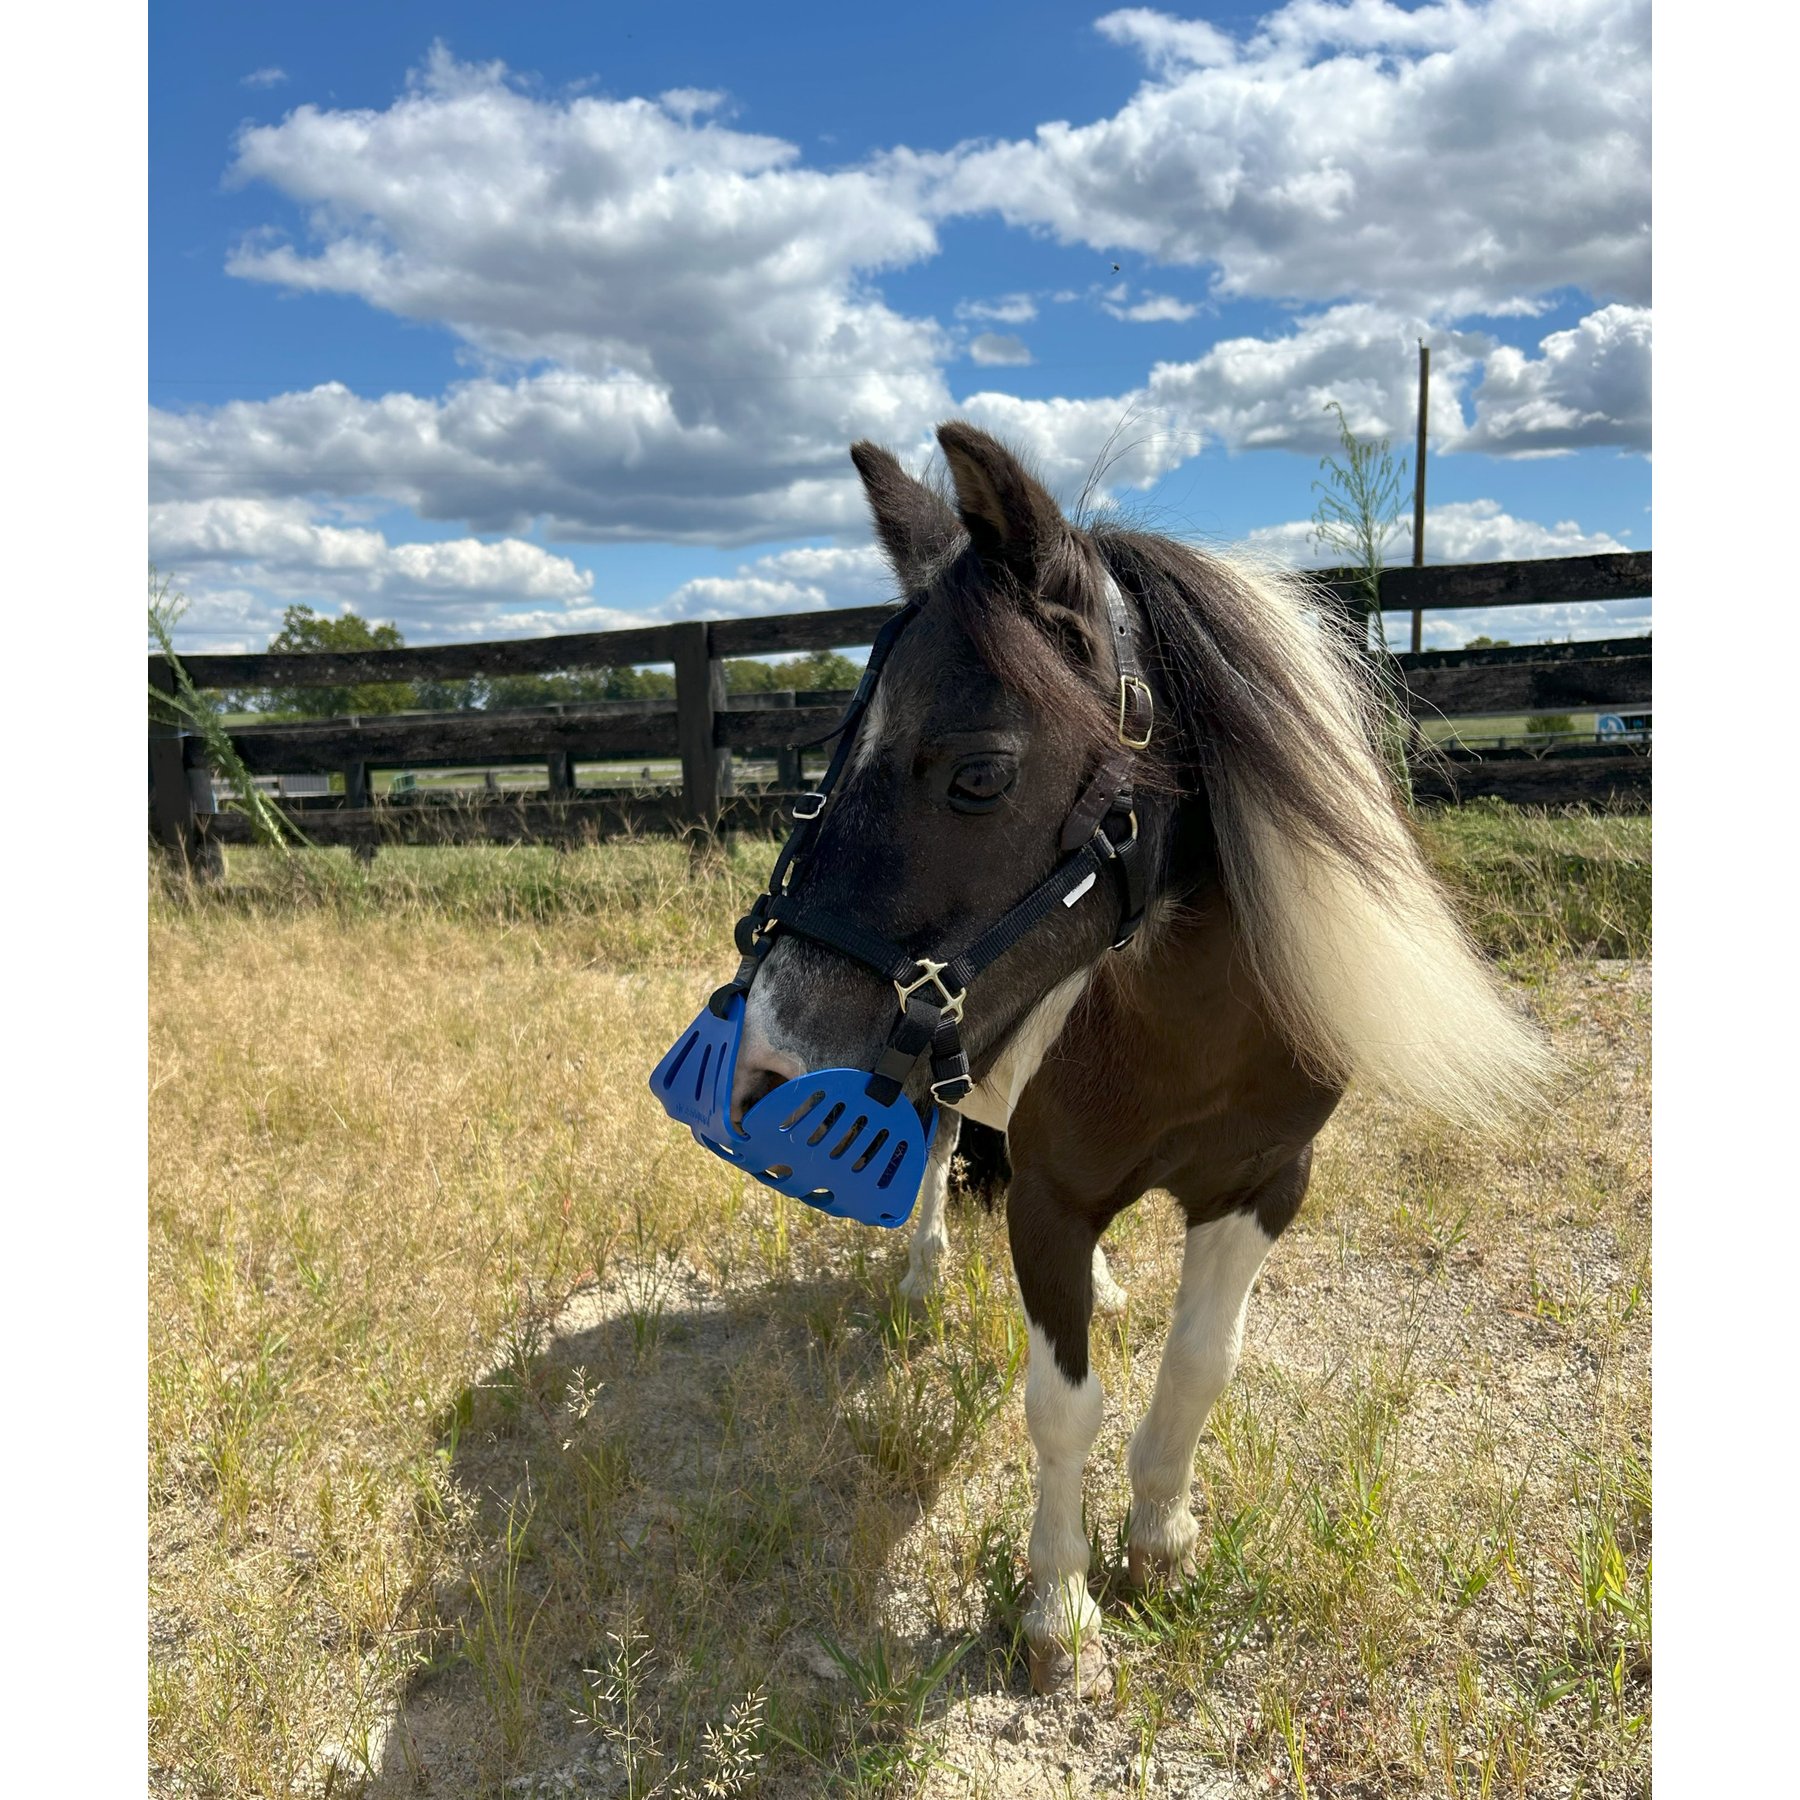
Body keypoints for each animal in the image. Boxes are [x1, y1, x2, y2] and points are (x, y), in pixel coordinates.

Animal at [725, 422, 1551, 1695]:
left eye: (978, 772)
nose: (767, 1061)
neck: (1189, 1034)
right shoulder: (1052, 1205)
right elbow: (1063, 1407)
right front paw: (1059, 1611)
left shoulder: (1265, 1187)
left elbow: (1202, 1366)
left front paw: (1161, 1538)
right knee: (943, 1152)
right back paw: (921, 1278)